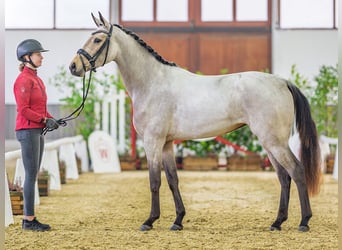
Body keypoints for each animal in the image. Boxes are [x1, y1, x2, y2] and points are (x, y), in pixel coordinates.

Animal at [69, 13, 320, 232]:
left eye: (97, 39)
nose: (74, 66)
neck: (153, 82)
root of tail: (282, 82)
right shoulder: (167, 143)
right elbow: (173, 180)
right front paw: (178, 221)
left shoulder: (152, 141)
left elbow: (154, 181)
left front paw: (149, 221)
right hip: (270, 143)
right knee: (284, 177)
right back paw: (277, 222)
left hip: (274, 142)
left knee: (296, 171)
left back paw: (304, 221)